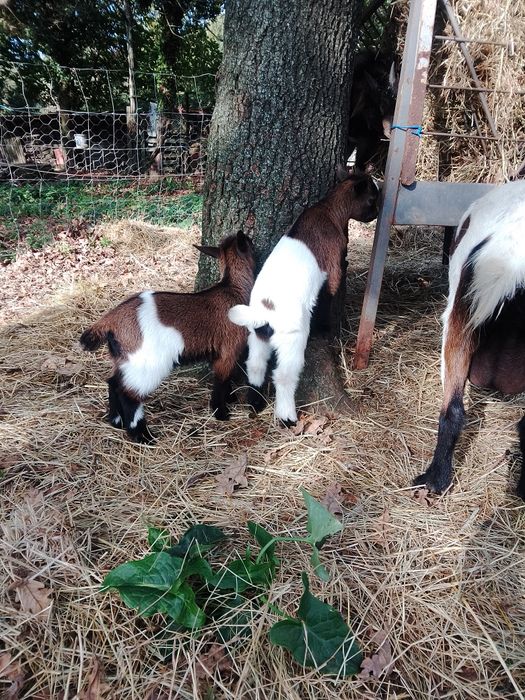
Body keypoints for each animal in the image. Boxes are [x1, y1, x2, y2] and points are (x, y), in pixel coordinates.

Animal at [80, 231, 255, 443]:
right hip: (147, 363)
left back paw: (116, 421)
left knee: (113, 383)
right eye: (250, 242)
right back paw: (143, 436)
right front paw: (221, 413)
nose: (250, 239)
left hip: (125, 359)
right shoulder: (228, 350)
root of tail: (110, 320)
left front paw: (230, 399)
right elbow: (221, 379)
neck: (232, 288)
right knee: (129, 394)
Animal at [228, 168, 379, 425]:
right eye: (371, 199)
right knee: (283, 376)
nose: (376, 214)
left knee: (256, 366)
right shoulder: (333, 269)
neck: (329, 210)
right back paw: (287, 418)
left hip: (258, 338)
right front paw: (325, 330)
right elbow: (328, 298)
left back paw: (255, 405)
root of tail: (263, 312)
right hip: (291, 341)